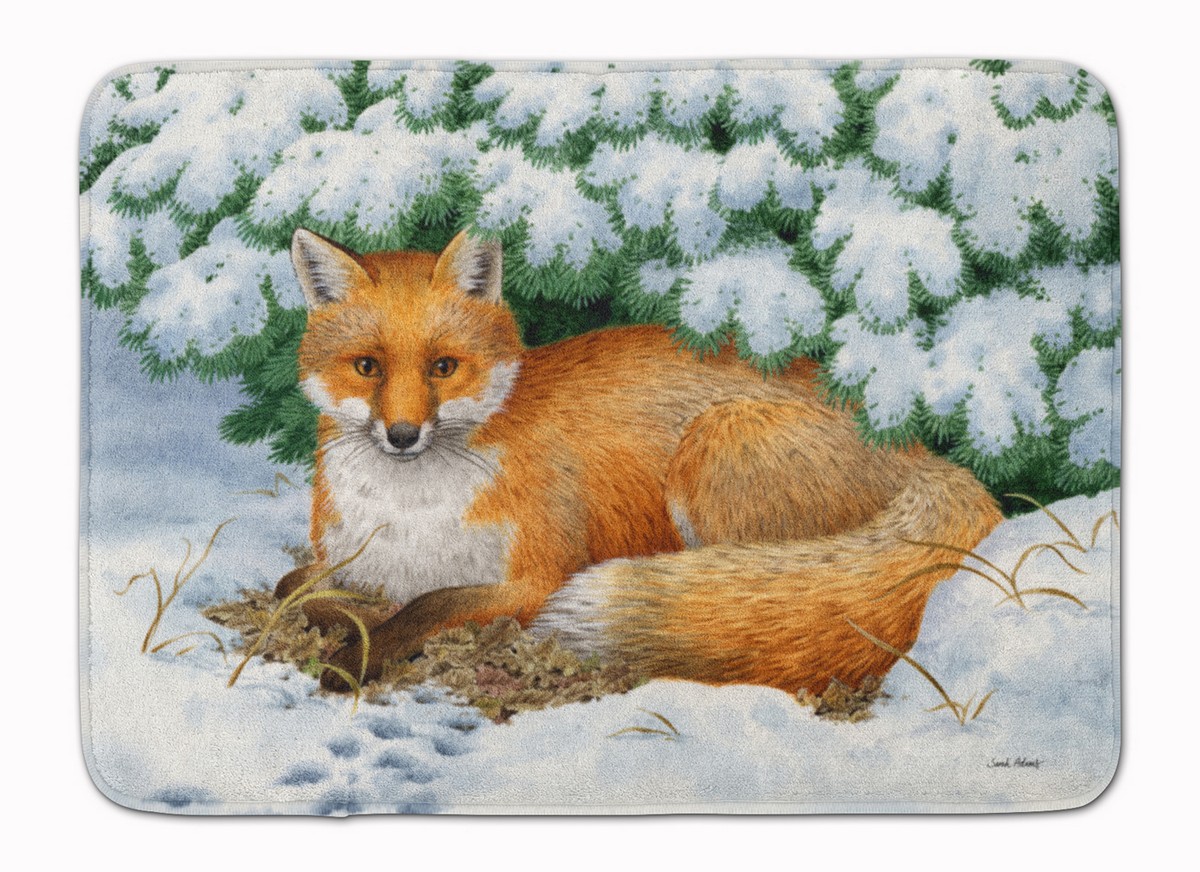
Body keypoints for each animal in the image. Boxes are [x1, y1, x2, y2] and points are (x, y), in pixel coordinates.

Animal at [278, 227, 1003, 695]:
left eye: (444, 368)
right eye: (367, 367)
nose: (402, 435)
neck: (408, 513)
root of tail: (908, 442)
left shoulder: (536, 581)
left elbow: (428, 606)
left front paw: (355, 660)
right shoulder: (347, 560)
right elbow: (297, 590)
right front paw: (351, 622)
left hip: (714, 446)